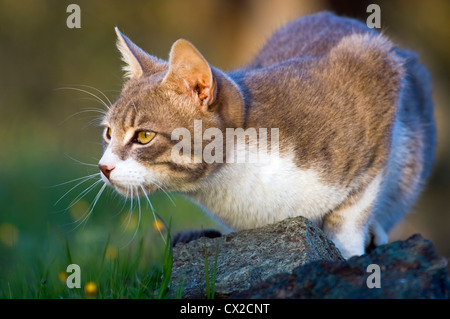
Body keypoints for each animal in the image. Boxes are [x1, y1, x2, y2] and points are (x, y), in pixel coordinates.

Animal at [97, 11, 436, 260]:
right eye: (109, 133)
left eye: (143, 136)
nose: (104, 167)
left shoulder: (375, 74)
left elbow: (353, 211)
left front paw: (348, 252)